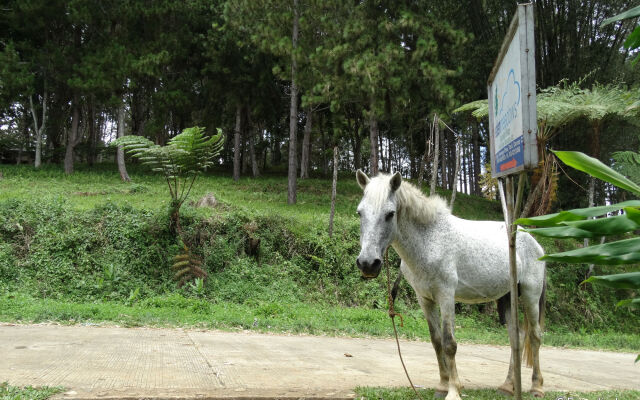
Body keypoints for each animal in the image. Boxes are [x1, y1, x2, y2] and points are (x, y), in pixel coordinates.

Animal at [356, 171, 544, 400]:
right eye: (360, 213)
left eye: (390, 214)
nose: (367, 263)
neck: (430, 240)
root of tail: (532, 240)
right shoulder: (425, 299)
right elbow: (436, 341)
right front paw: (442, 385)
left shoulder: (446, 296)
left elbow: (449, 343)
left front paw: (454, 391)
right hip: (507, 297)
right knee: (516, 338)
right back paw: (508, 386)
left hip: (530, 295)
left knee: (534, 336)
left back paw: (536, 387)